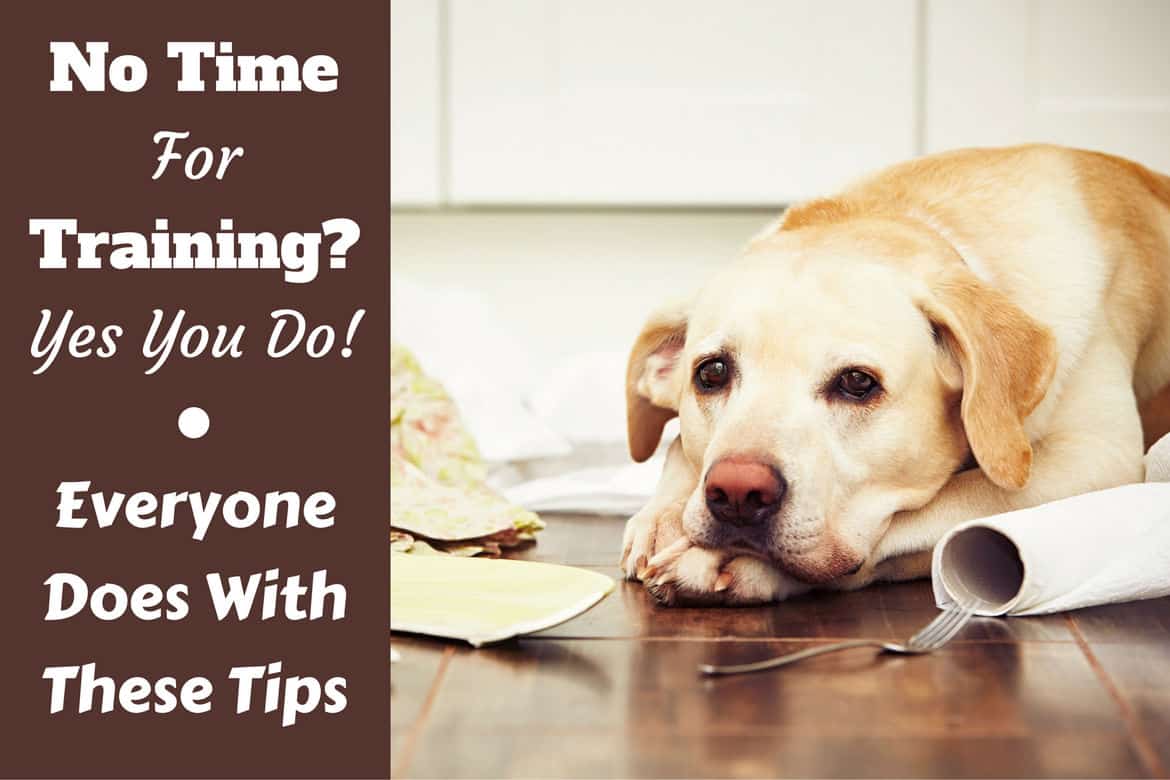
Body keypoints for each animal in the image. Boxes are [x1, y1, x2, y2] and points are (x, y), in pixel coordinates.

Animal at [622, 147, 1170, 608]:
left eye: (857, 383)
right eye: (712, 372)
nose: (737, 492)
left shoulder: (1097, 456)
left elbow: (950, 502)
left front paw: (723, 561)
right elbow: (677, 447)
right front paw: (662, 516)